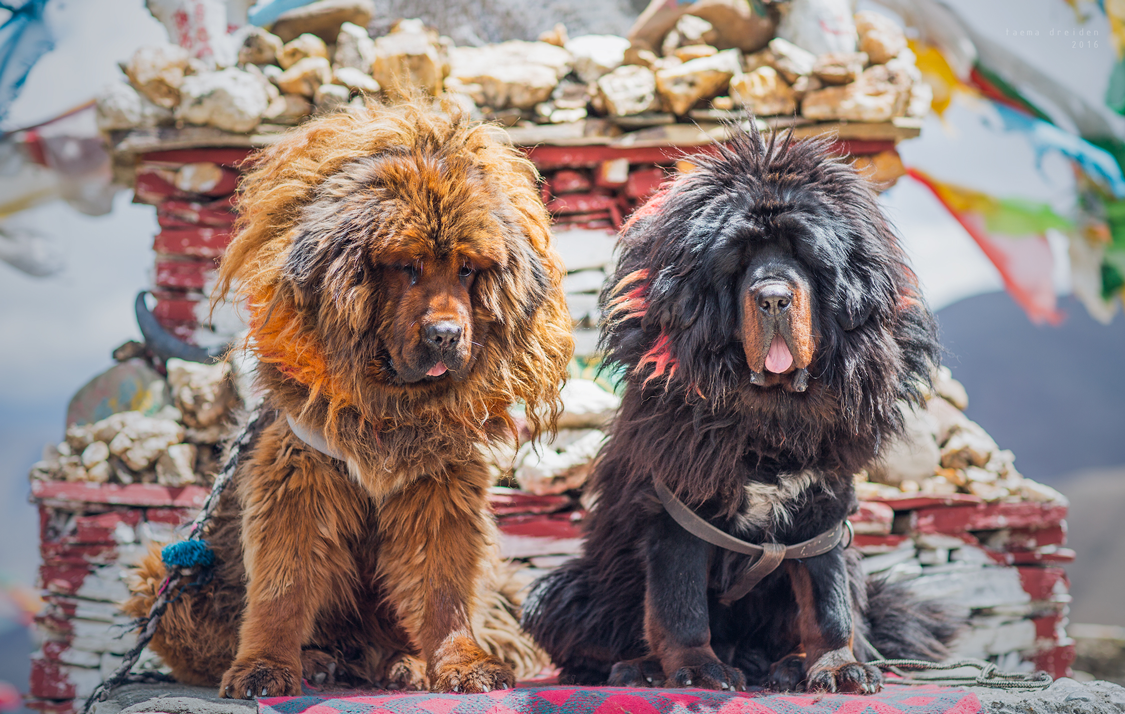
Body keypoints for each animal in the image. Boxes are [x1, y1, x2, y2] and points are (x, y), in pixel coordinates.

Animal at [125, 100, 571, 697]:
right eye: (407, 267)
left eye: (467, 270)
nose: (446, 336)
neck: (389, 407)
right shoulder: (298, 474)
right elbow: (282, 588)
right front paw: (264, 668)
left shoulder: (439, 488)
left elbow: (444, 590)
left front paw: (461, 664)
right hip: (175, 575)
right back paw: (314, 660)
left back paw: (402, 665)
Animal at [522, 127, 963, 692]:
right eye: (738, 260)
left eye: (806, 258)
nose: (773, 297)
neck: (769, 420)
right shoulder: (680, 507)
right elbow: (681, 603)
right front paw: (695, 670)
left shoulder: (823, 510)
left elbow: (829, 603)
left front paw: (836, 666)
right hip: (567, 589)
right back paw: (641, 670)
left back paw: (787, 667)